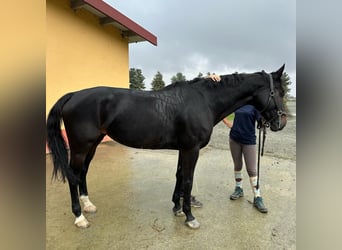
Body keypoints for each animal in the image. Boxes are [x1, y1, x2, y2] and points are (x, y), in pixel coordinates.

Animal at [45, 64, 286, 229]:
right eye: (279, 92)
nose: (281, 123)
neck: (203, 100)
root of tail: (74, 95)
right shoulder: (191, 149)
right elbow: (188, 180)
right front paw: (190, 217)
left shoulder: (183, 148)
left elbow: (179, 176)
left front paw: (177, 208)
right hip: (79, 147)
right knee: (73, 176)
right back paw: (80, 217)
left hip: (92, 145)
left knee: (83, 172)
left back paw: (88, 205)